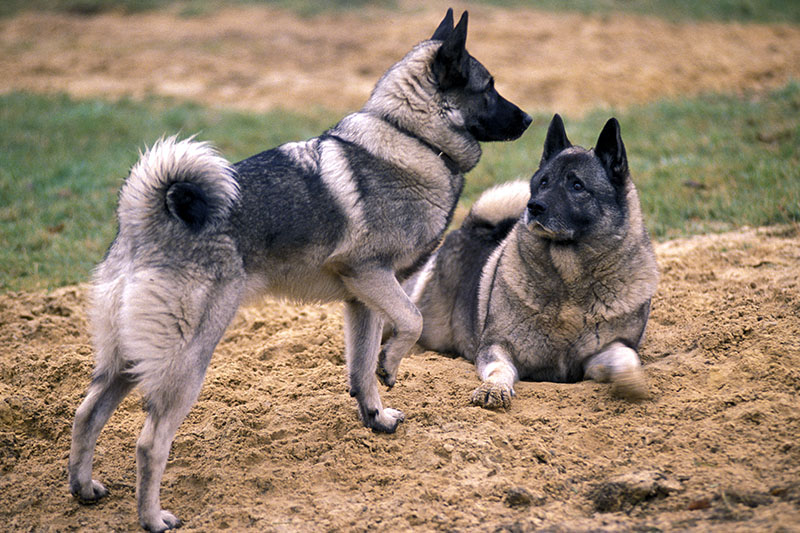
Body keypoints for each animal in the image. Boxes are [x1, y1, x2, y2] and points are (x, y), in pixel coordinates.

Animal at [67, 9, 532, 532]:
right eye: (488, 87)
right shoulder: (372, 276)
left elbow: (359, 370)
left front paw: (375, 416)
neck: (409, 136)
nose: (529, 119)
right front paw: (391, 364)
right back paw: (153, 517)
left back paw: (83, 488)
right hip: (187, 359)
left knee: (86, 416)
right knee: (149, 444)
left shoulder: (361, 299)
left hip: (125, 359)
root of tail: (143, 219)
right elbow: (409, 323)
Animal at [404, 114, 660, 408]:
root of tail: (471, 227)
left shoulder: (600, 354)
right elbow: (499, 368)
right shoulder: (497, 347)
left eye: (577, 186)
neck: (570, 280)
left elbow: (626, 357)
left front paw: (632, 382)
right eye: (543, 183)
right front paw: (494, 389)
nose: (534, 206)